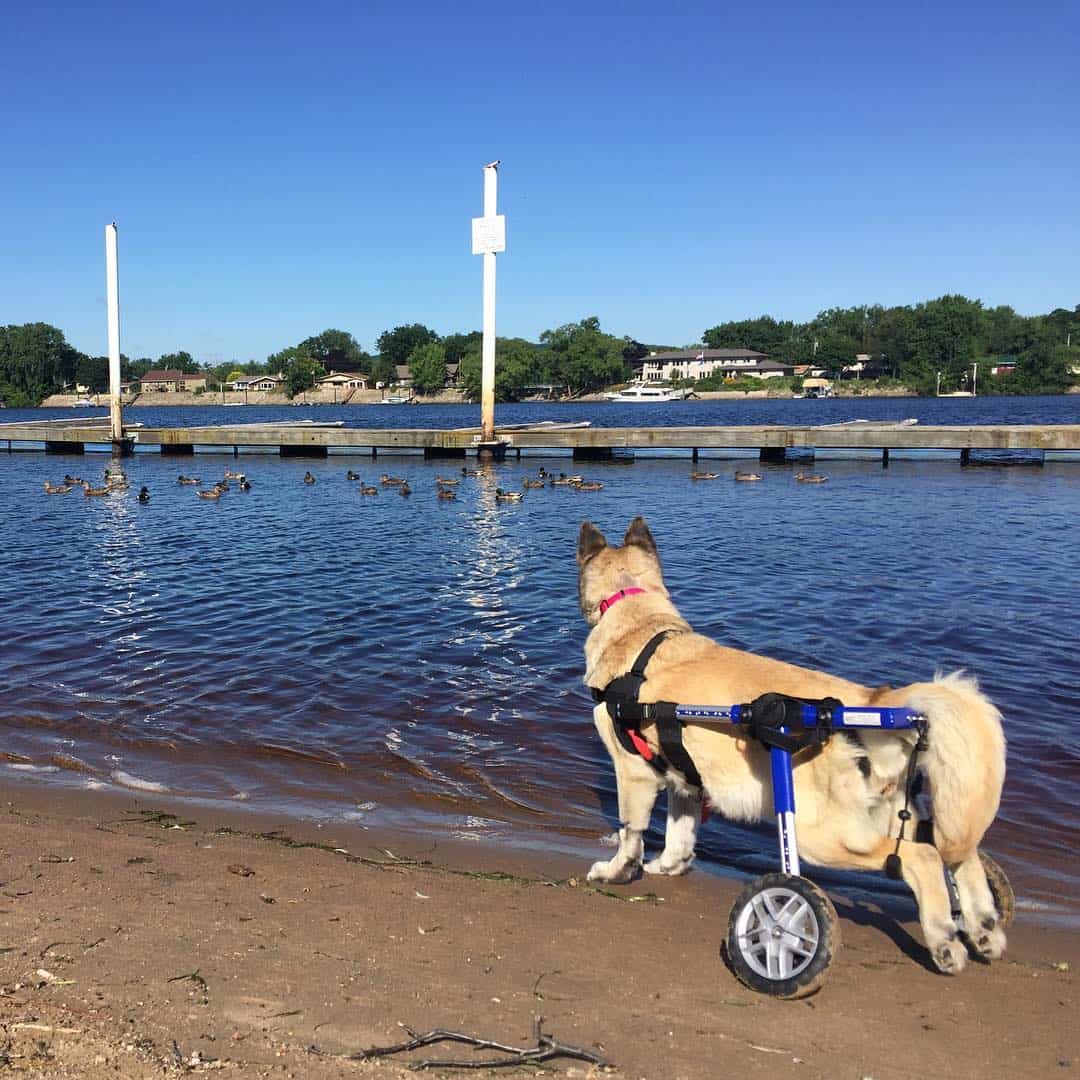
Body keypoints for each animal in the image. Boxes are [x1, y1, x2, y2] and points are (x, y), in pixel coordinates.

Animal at [578, 516, 1006, 980]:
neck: (638, 620)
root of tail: (875, 703)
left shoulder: (633, 774)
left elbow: (631, 832)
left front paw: (618, 870)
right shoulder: (685, 781)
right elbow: (679, 832)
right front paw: (668, 865)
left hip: (821, 834)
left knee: (924, 858)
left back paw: (945, 939)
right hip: (890, 814)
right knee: (956, 852)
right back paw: (984, 926)